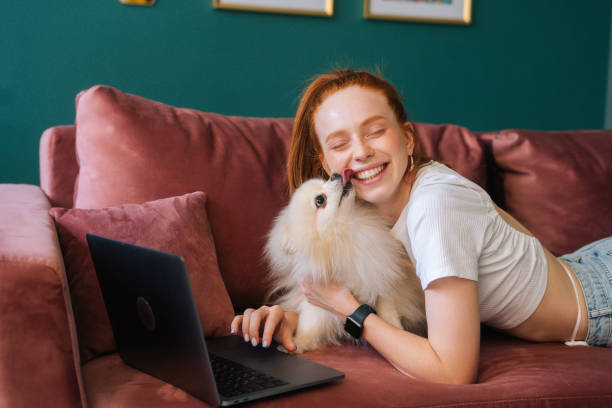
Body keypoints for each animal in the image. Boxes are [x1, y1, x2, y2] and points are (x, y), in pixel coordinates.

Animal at [262, 174, 426, 352]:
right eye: (320, 200)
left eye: (325, 180)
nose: (335, 175)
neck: (345, 231)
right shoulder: (316, 302)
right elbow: (310, 323)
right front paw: (299, 343)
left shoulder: (378, 280)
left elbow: (388, 310)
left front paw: (395, 328)